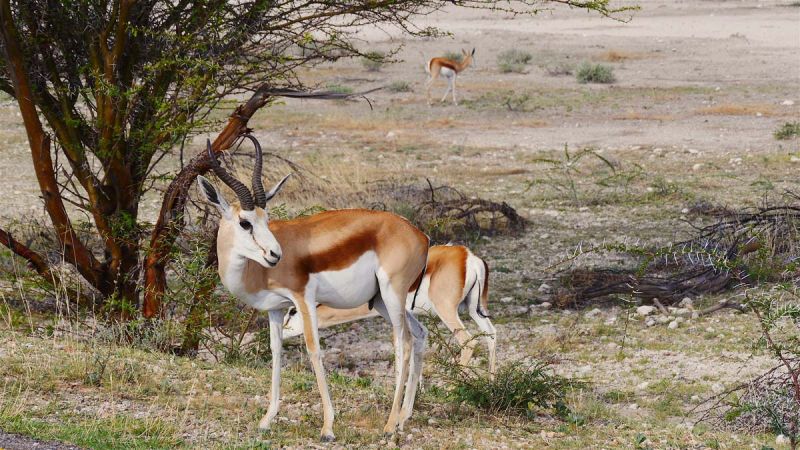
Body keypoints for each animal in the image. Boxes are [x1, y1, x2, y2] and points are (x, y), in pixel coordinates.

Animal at [197, 136, 428, 440]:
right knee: (419, 334)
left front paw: (328, 426)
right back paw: (403, 417)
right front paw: (267, 419)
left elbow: (313, 349)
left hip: (393, 295)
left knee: (404, 342)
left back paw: (389, 425)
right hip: (381, 301)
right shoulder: (275, 309)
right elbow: (276, 351)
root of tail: (420, 235)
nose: (275, 254)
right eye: (245, 222)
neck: (256, 270)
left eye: (266, 219)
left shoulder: (303, 299)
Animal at [282, 244, 494, 374]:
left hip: (447, 310)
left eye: (292, 311)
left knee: (469, 341)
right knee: (491, 334)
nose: (280, 332)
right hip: (473, 310)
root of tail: (469, 257)